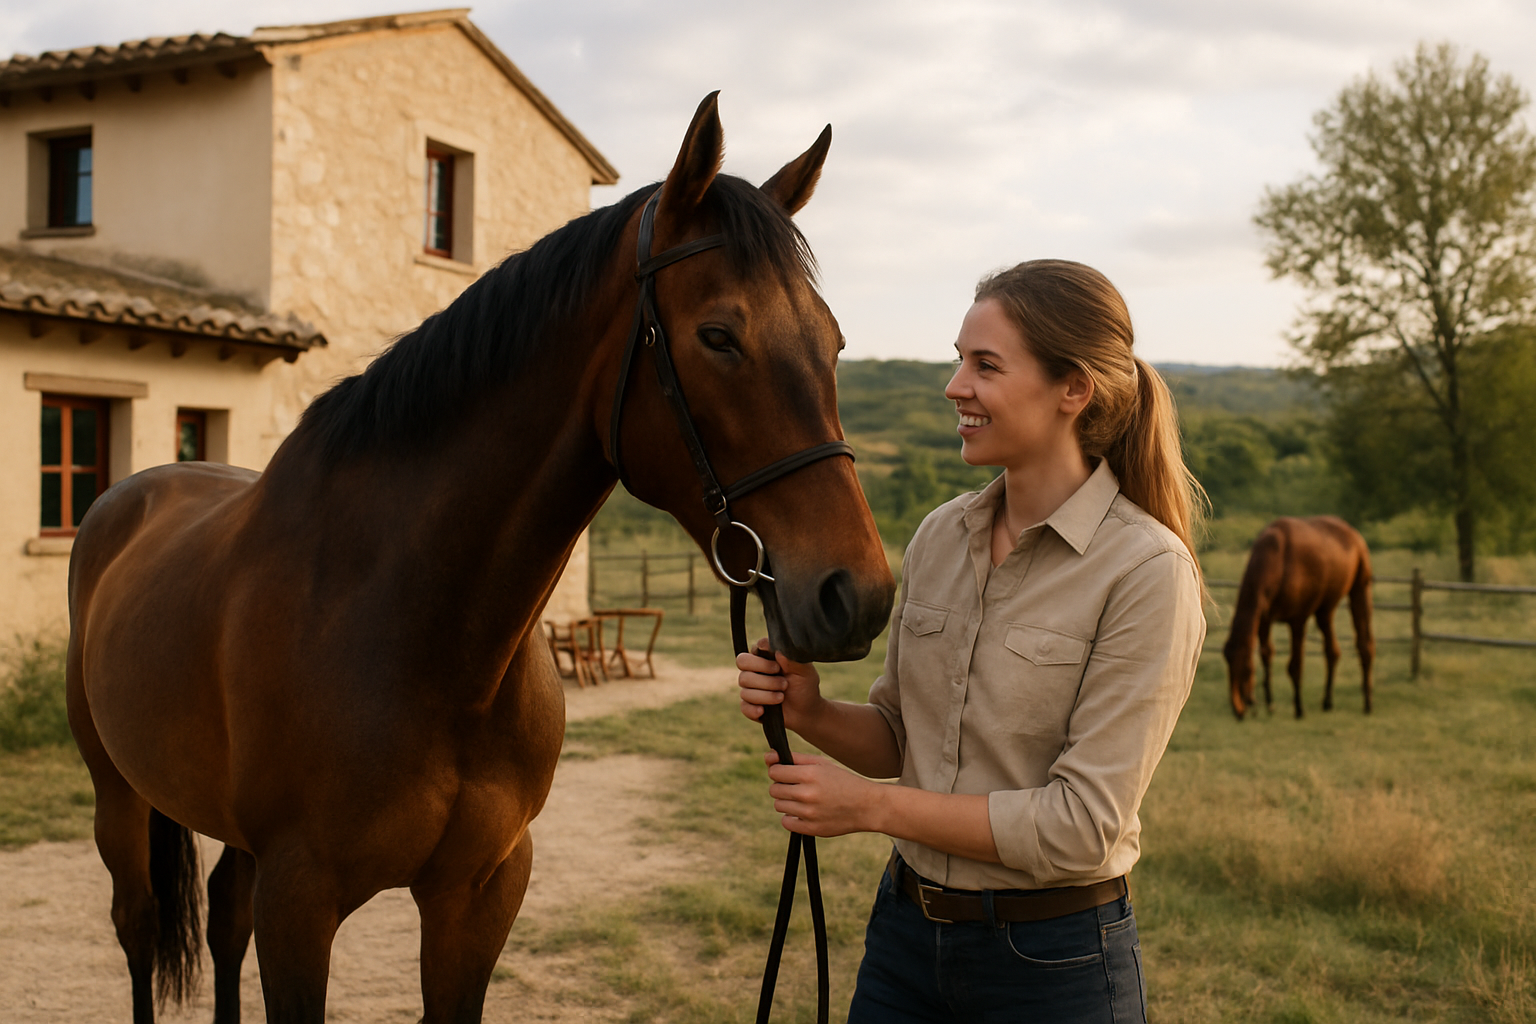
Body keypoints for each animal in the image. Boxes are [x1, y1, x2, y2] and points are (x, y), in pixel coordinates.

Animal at [65, 93, 896, 1024]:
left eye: (833, 341)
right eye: (719, 335)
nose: (856, 593)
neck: (424, 636)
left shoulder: (480, 891)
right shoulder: (300, 901)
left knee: (222, 919)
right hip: (117, 794)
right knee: (139, 926)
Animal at [1223, 516, 1375, 720]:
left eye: (1244, 667)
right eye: (1228, 662)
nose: (1237, 709)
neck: (1277, 558)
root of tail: (1352, 533)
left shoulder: (1298, 619)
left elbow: (1295, 666)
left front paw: (1299, 708)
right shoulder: (1264, 619)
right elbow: (1267, 654)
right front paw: (1270, 703)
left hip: (1360, 587)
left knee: (1364, 644)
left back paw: (1367, 703)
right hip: (1325, 609)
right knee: (1332, 650)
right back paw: (1327, 702)